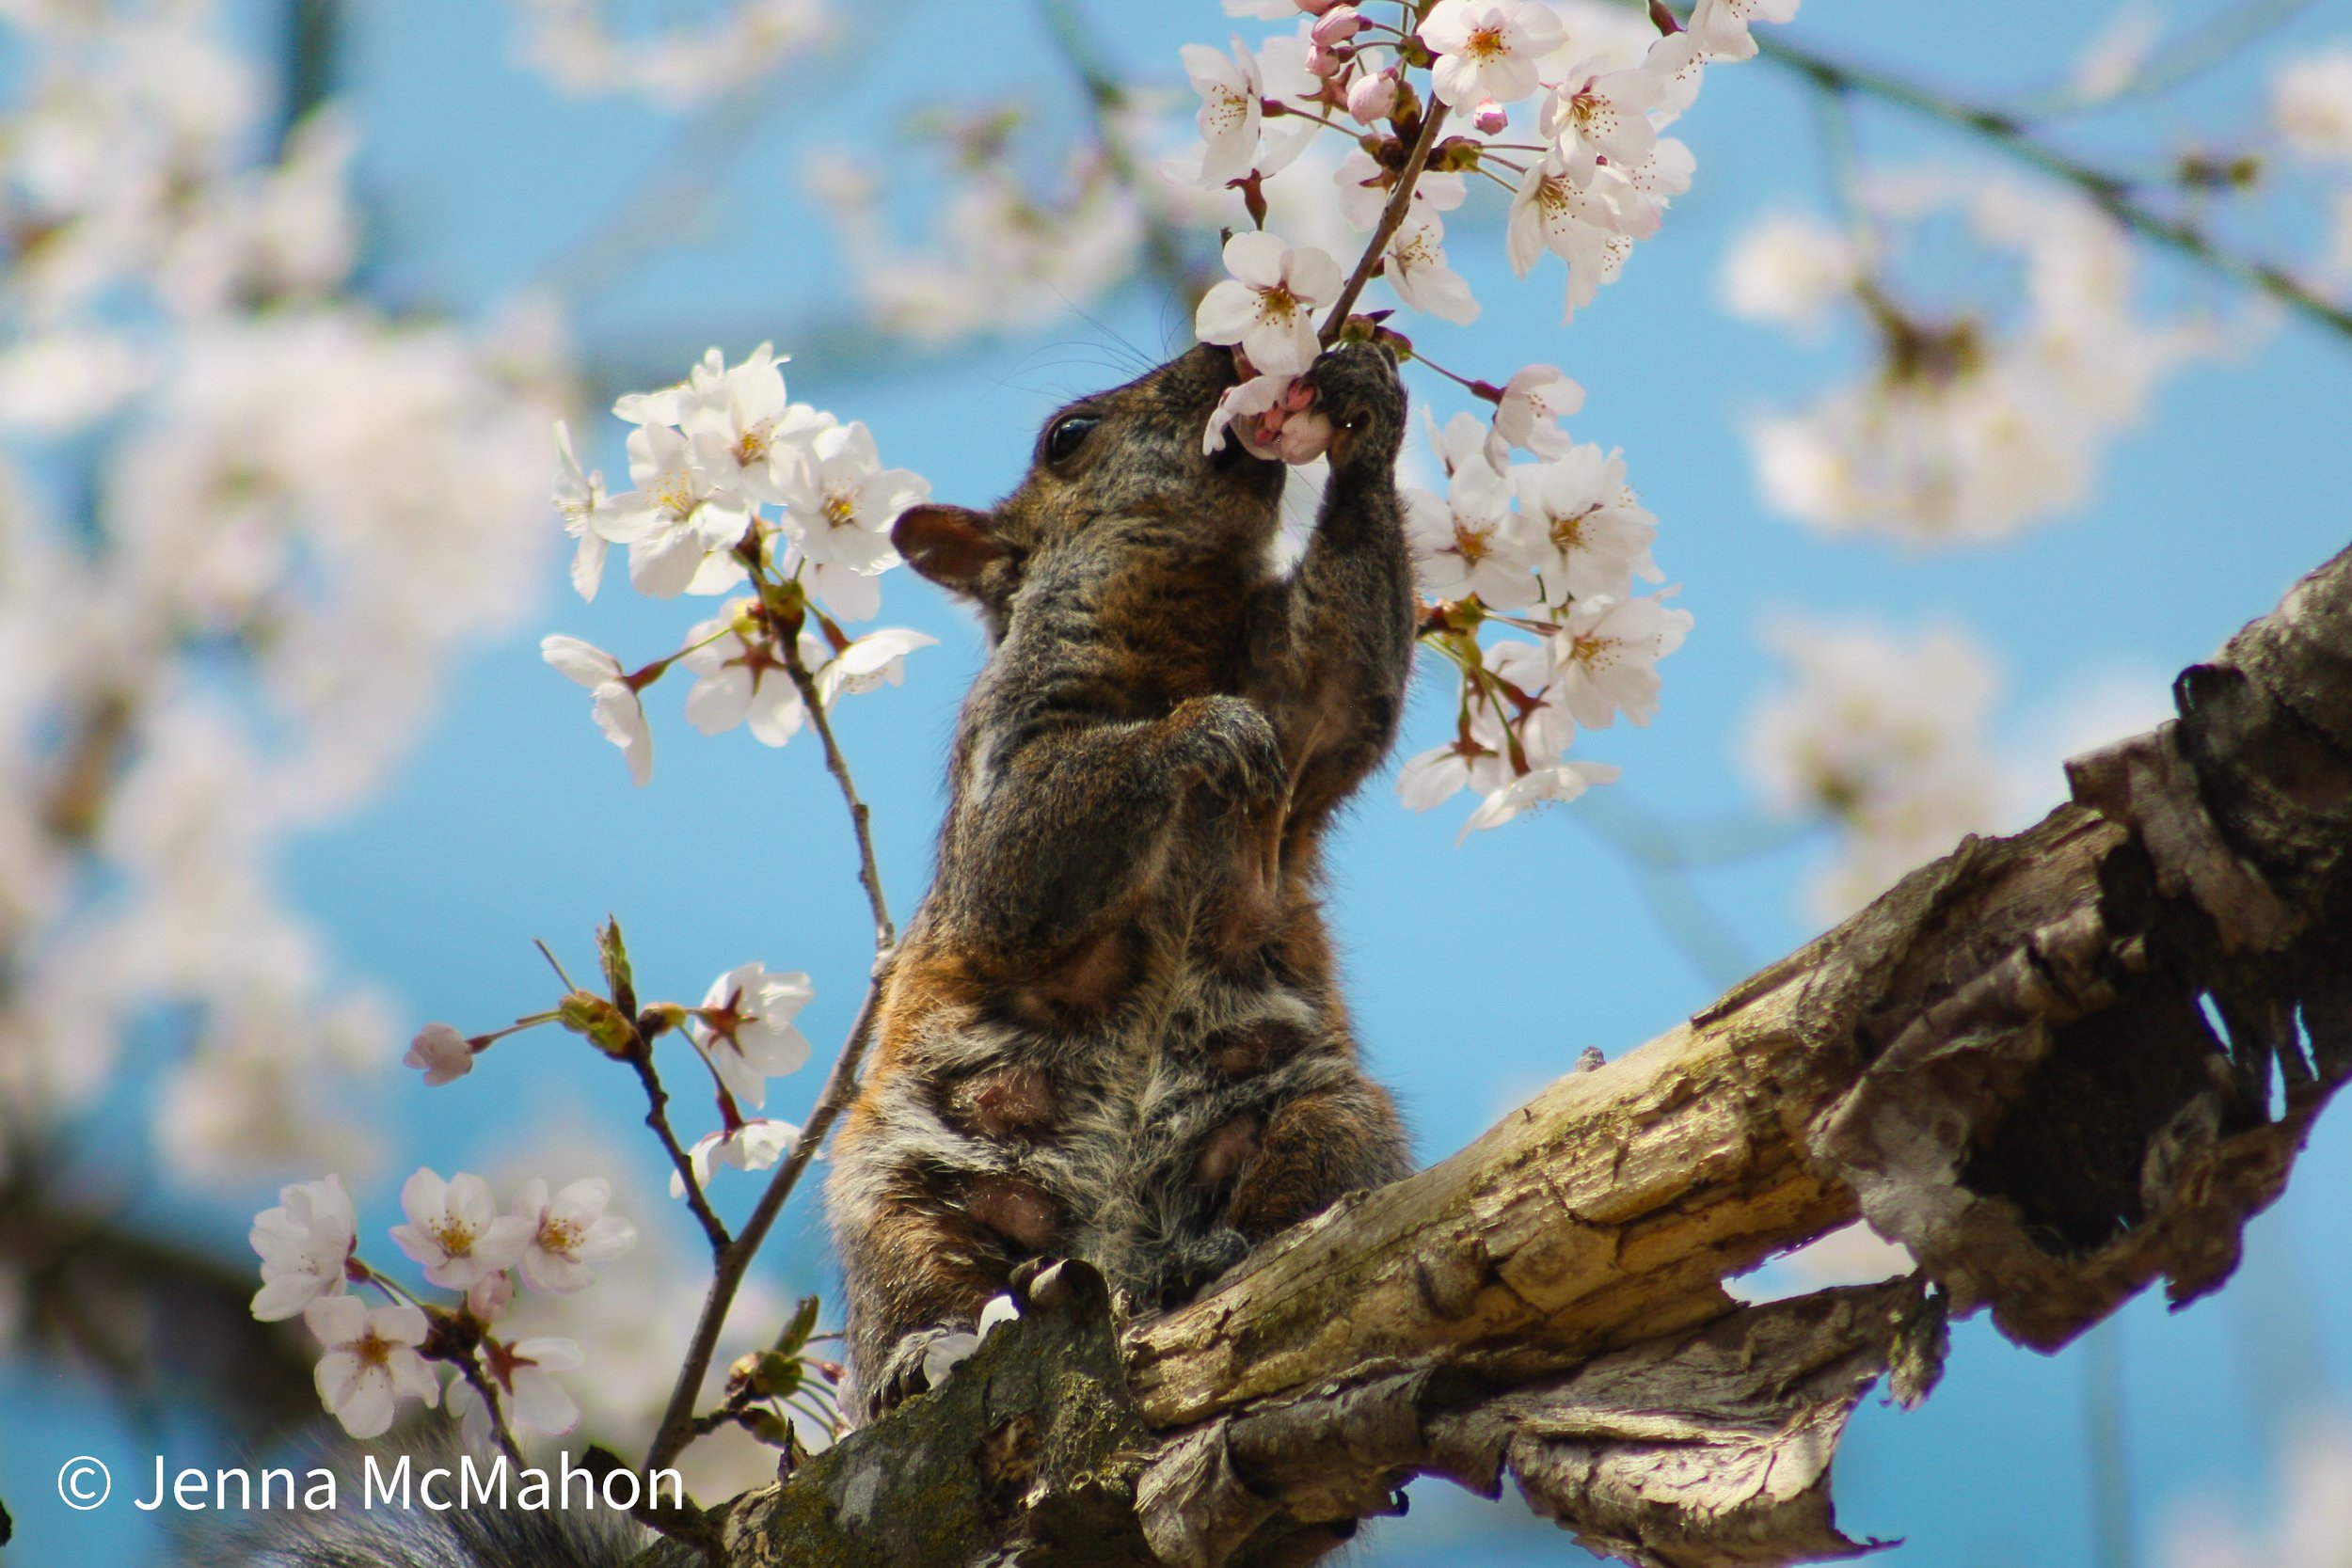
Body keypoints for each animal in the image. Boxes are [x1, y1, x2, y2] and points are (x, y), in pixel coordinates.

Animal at [826, 338, 1418, 1421]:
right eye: (1067, 436)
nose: (1227, 349)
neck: (1177, 632)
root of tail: (1115, 1260)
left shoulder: (1299, 714)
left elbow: (1349, 676)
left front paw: (1364, 409)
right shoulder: (1006, 767)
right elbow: (1022, 860)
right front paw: (1192, 733)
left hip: (1322, 1116)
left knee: (1296, 1179)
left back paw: (1218, 1251)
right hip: (898, 1200)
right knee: (922, 1282)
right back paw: (922, 1353)